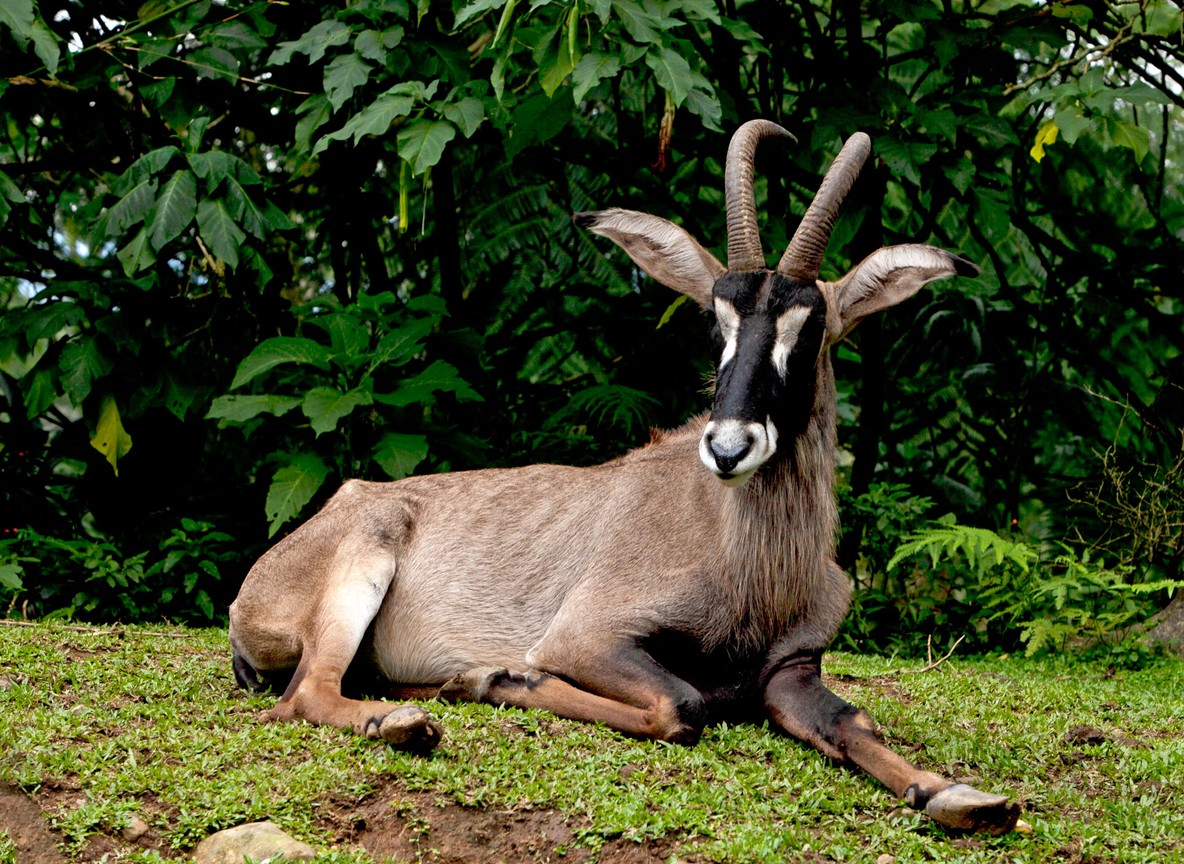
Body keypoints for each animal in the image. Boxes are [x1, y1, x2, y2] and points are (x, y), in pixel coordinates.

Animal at [229, 120, 1021, 834]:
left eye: (812, 329)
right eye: (716, 323)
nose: (728, 448)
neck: (750, 565)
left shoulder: (792, 670)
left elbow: (854, 722)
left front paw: (959, 796)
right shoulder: (586, 638)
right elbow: (682, 705)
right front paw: (501, 677)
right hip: (358, 576)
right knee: (306, 696)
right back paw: (405, 721)